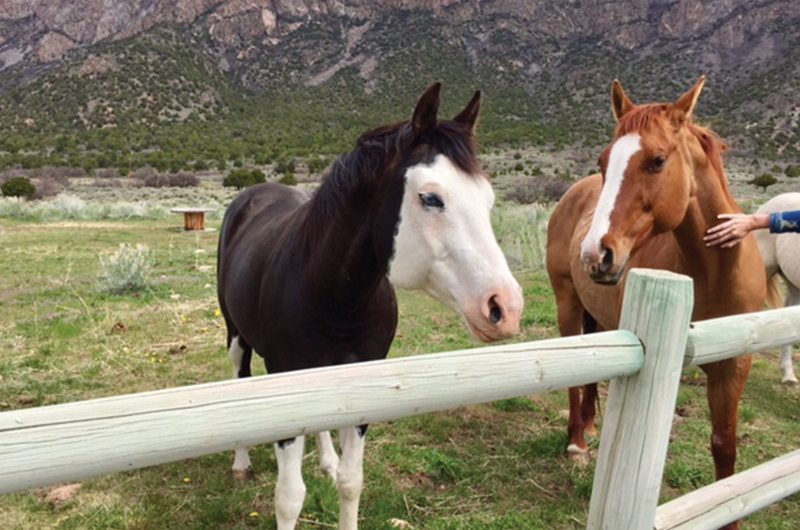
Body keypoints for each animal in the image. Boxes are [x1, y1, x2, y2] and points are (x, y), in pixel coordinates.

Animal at [217, 82, 524, 528]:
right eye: (431, 198)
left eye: (487, 199)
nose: (505, 307)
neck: (335, 299)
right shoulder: (285, 385)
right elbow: (289, 497)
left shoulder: (361, 385)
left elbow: (351, 482)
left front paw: (335, 469)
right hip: (236, 335)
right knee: (239, 375)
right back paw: (240, 461)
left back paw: (325, 459)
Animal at [548, 75, 764, 528]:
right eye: (603, 161)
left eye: (658, 160)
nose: (595, 254)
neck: (714, 273)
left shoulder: (736, 362)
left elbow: (725, 445)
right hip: (567, 301)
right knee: (576, 378)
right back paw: (577, 441)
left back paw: (589, 426)